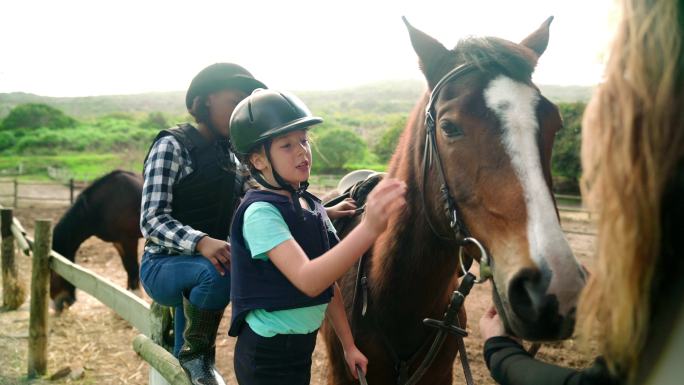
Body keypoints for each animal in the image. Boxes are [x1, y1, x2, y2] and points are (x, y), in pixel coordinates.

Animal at [51, 170, 144, 310]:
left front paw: (136, 298)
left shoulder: (129, 239)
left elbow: (133, 267)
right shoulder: (118, 242)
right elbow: (127, 266)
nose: (59, 303)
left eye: (55, 271)